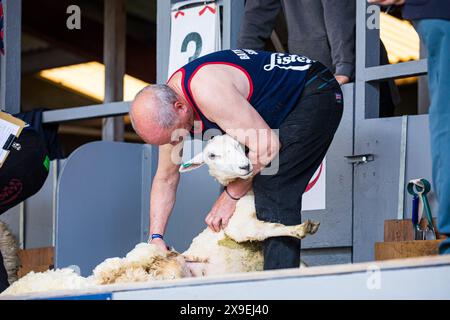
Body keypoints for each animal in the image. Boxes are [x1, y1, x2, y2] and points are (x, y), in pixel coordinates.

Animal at [179, 134, 320, 276]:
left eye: (237, 144)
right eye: (212, 155)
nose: (245, 166)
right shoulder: (238, 227)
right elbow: (271, 227)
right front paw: (302, 229)